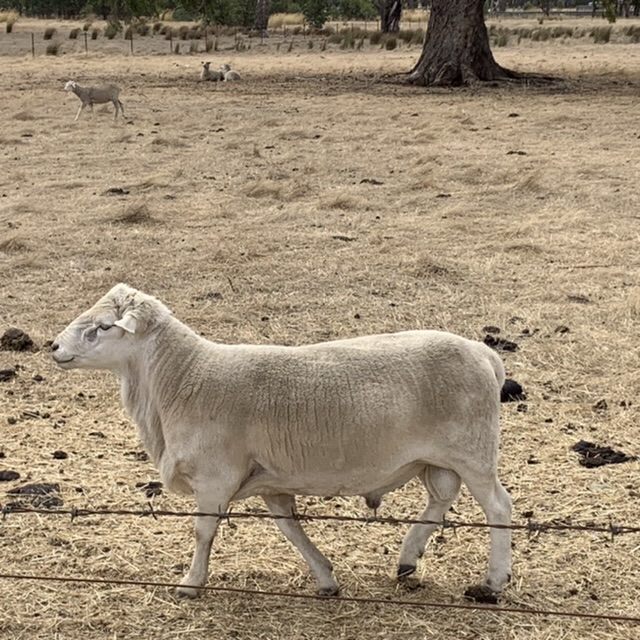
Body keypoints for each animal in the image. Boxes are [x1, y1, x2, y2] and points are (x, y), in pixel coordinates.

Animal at [51, 283, 512, 600]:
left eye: (103, 328)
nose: (54, 346)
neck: (183, 378)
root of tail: (485, 354)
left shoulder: (215, 477)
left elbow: (203, 532)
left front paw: (191, 583)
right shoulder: (270, 481)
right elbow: (291, 530)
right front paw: (325, 578)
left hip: (473, 450)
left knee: (497, 507)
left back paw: (494, 580)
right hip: (438, 459)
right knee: (441, 499)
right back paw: (407, 558)